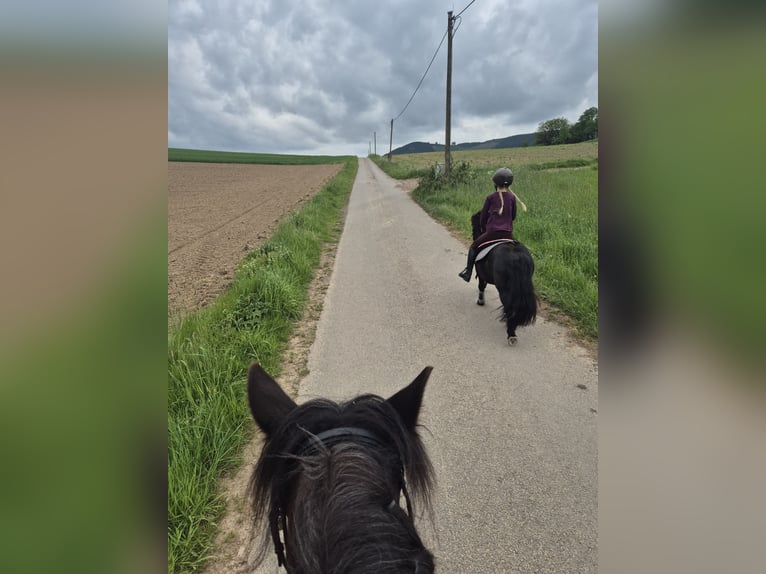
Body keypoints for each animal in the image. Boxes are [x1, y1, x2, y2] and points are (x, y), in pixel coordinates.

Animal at [472, 212, 536, 346]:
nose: (474, 237)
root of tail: (517, 256)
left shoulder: (481, 275)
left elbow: (481, 286)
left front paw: (481, 301)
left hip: (504, 289)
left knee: (509, 305)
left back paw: (511, 334)